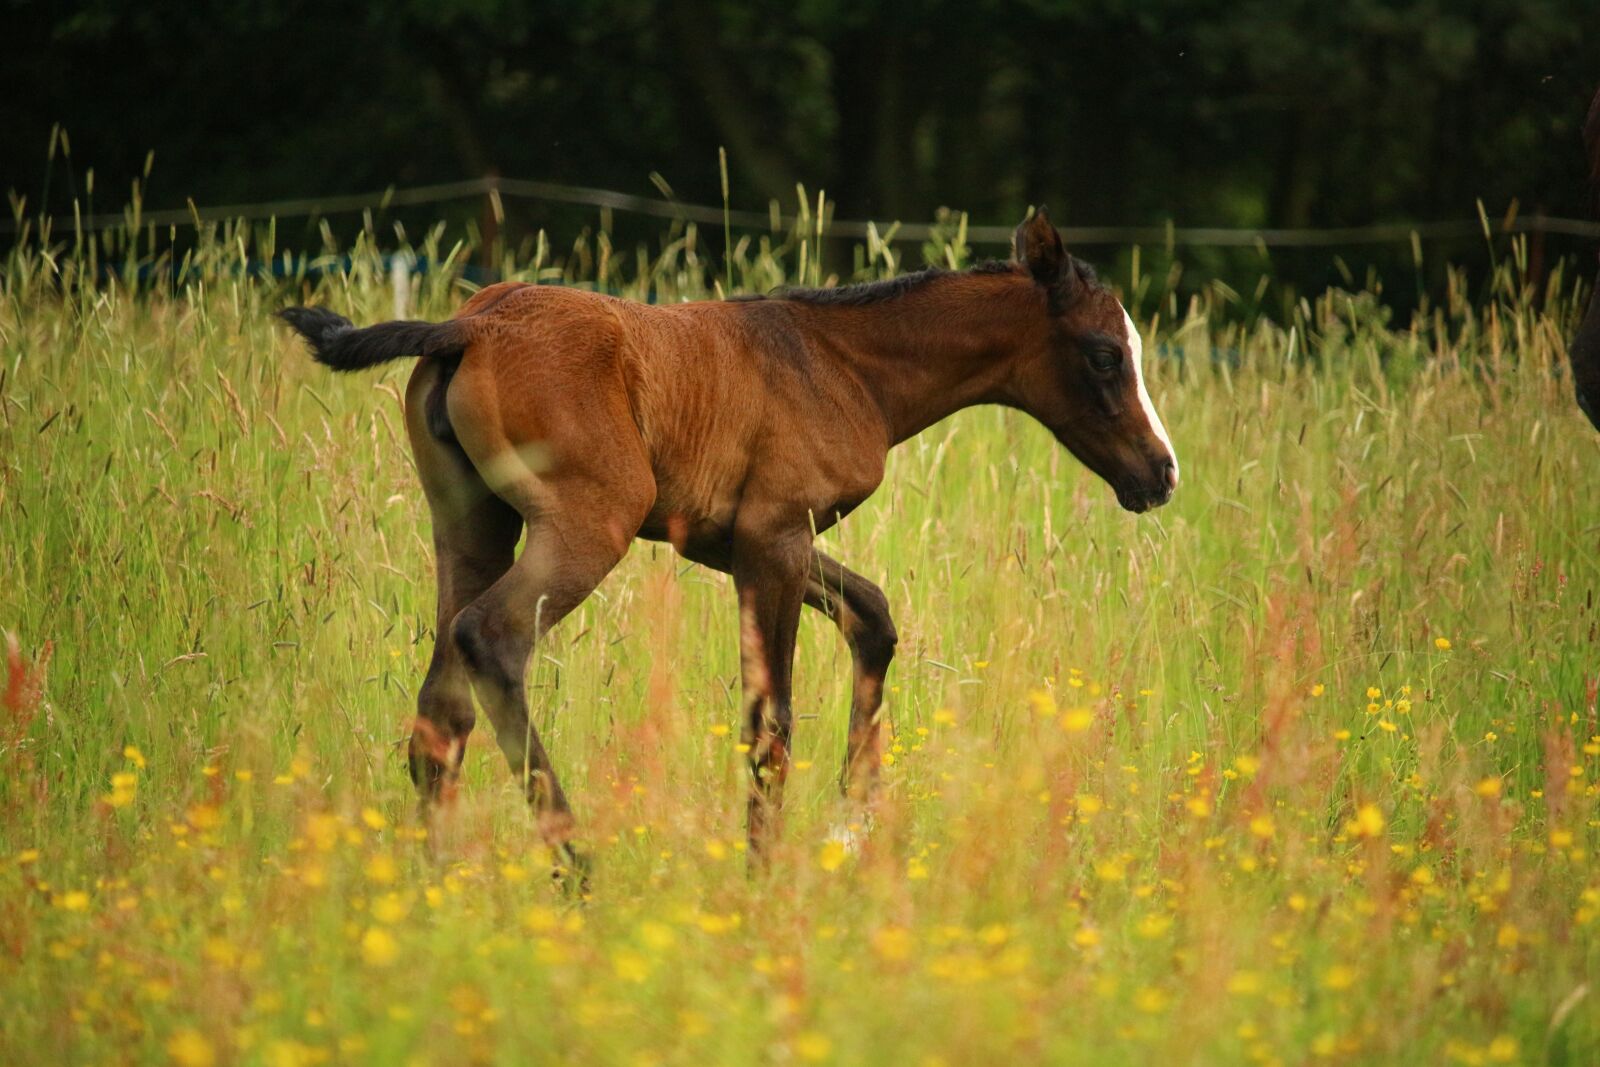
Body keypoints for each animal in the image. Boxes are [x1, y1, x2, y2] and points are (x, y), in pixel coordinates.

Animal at [277, 208, 1178, 870]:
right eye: (1106, 355)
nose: (1161, 473)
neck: (842, 364)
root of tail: (467, 328)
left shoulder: (737, 541)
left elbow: (874, 618)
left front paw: (850, 823)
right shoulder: (773, 540)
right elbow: (771, 725)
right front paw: (762, 879)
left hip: (471, 525)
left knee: (440, 708)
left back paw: (431, 882)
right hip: (587, 525)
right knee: (490, 639)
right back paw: (577, 867)